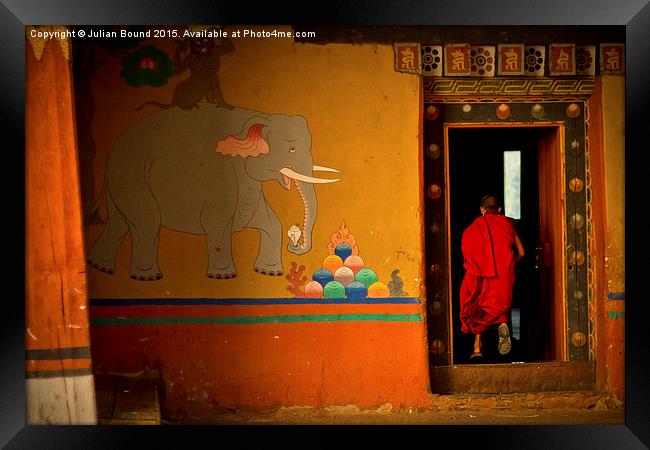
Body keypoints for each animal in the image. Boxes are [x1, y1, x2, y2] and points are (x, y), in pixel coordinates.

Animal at [86, 106, 340, 282]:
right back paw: (147, 277)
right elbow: (217, 222)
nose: (293, 244)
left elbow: (270, 222)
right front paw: (224, 277)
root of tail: (112, 153)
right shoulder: (221, 176)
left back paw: (100, 266)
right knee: (147, 222)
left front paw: (268, 273)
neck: (258, 115)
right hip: (133, 178)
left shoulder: (247, 182)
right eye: (292, 149)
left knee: (119, 225)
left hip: (121, 183)